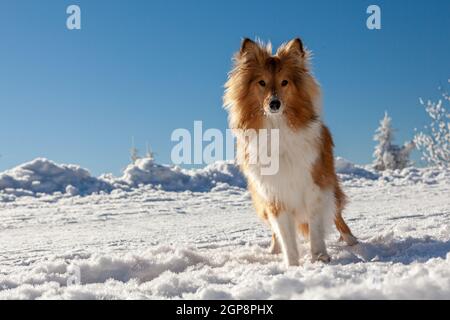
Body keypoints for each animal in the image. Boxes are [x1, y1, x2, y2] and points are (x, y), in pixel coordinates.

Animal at [223, 38, 356, 268]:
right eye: (262, 82)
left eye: (285, 82)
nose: (274, 103)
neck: (278, 128)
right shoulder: (275, 194)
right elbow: (285, 235)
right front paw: (293, 265)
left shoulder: (315, 187)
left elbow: (316, 229)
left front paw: (320, 257)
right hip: (262, 202)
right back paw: (273, 249)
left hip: (331, 186)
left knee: (337, 215)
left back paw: (352, 241)